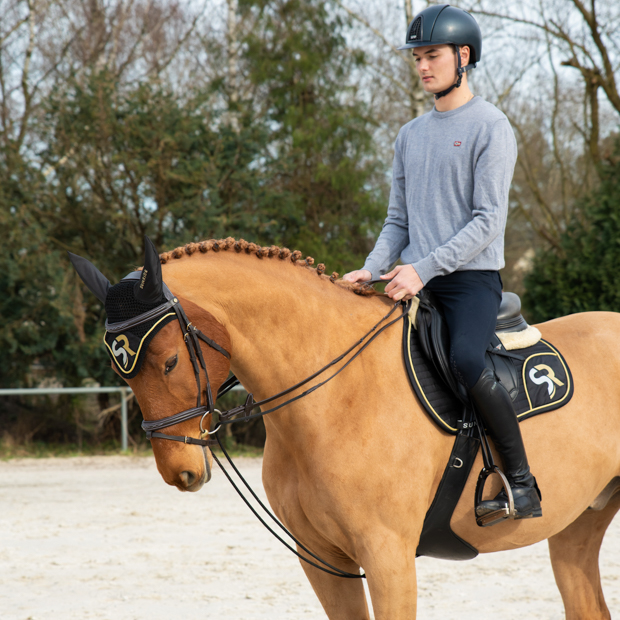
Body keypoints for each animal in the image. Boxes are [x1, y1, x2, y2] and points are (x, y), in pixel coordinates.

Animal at [74, 239, 620, 620]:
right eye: (122, 370)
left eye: (168, 362)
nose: (180, 470)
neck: (335, 396)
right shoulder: (321, 558)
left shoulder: (388, 559)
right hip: (577, 524)